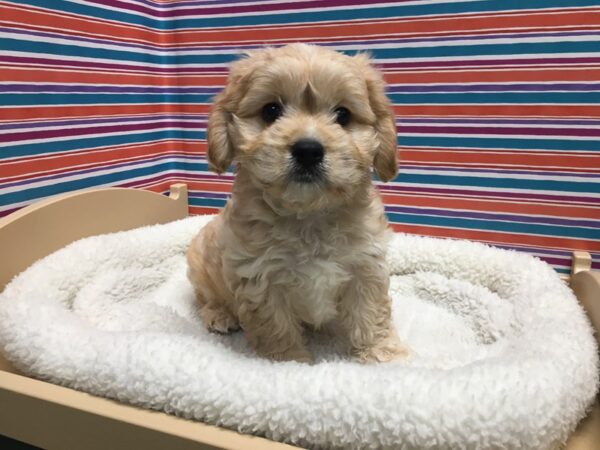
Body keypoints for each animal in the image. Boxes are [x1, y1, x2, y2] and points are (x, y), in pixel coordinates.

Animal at [189, 44, 408, 364]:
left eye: (343, 115)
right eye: (271, 110)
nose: (308, 150)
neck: (309, 214)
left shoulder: (366, 267)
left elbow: (371, 313)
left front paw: (382, 354)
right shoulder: (260, 277)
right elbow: (275, 325)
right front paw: (290, 362)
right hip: (201, 267)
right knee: (206, 297)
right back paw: (220, 315)